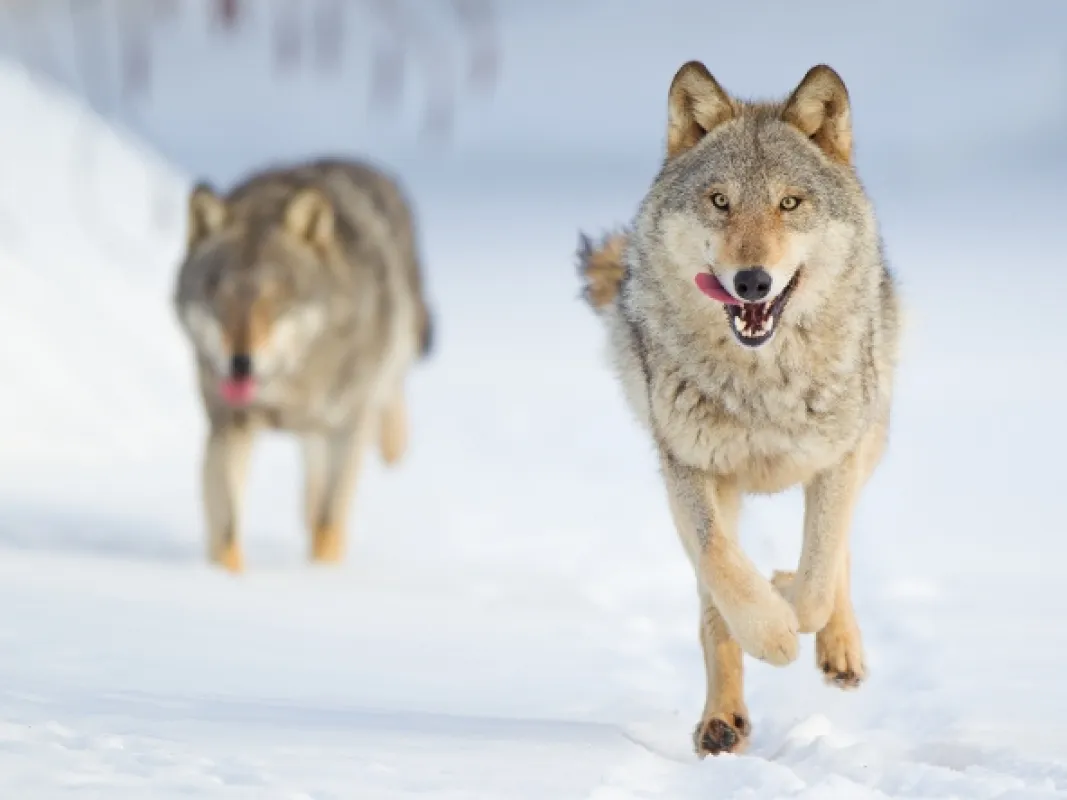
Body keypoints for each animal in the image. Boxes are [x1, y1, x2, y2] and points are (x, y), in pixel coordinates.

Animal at [174, 158, 433, 574]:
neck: (289, 390)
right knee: (310, 494)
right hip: (311, 437)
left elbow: (330, 522)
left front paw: (320, 577)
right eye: (221, 299)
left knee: (390, 408)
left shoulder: (347, 429)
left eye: (274, 300)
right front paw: (225, 580)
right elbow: (227, 529)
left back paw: (394, 449)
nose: (240, 365)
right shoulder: (228, 427)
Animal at [577, 62, 900, 756]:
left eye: (790, 203)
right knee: (712, 603)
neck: (762, 384)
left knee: (837, 554)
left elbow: (816, 579)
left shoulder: (836, 460)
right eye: (720, 201)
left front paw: (791, 602)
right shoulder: (688, 469)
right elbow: (724, 570)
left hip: (870, 437)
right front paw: (771, 632)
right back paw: (721, 721)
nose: (752, 281)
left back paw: (839, 650)